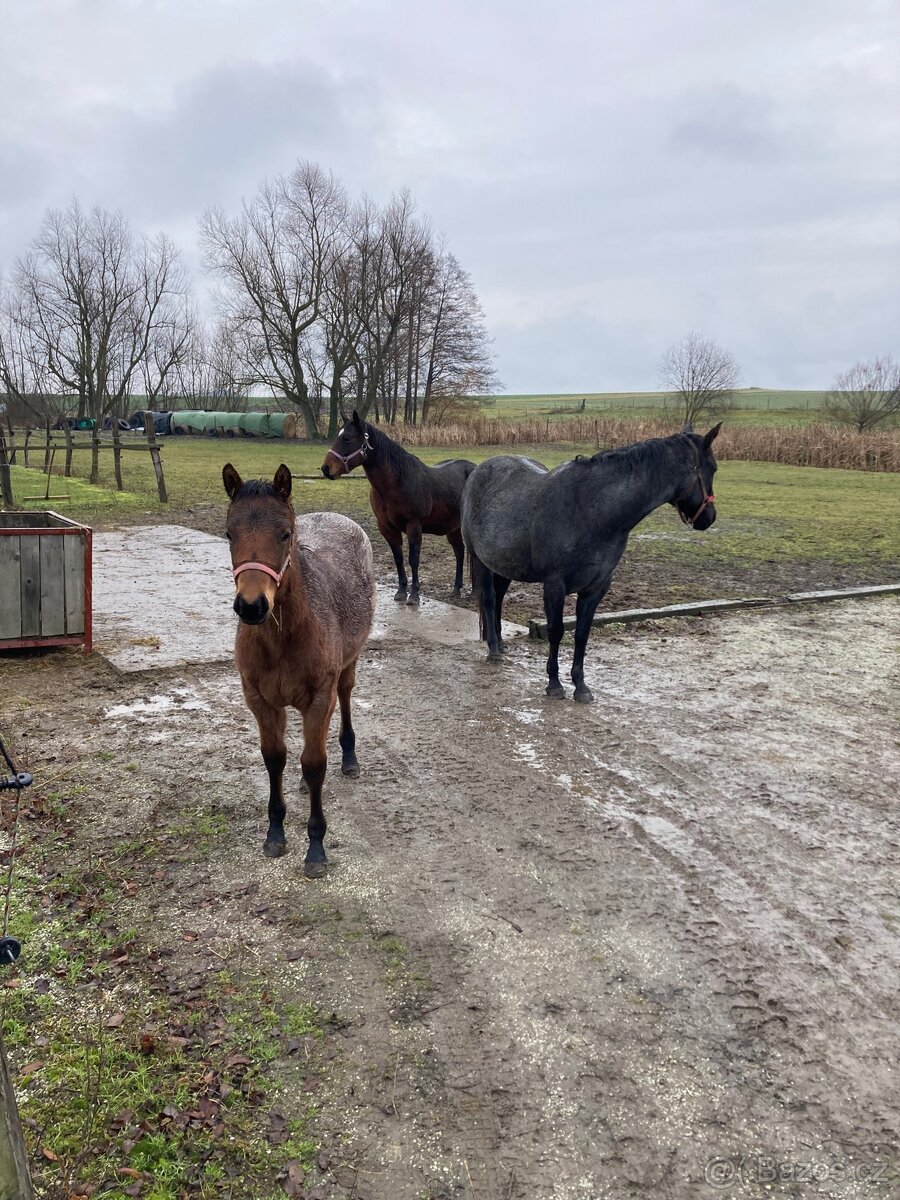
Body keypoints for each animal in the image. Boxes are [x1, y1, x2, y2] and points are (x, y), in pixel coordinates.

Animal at [223, 462, 376, 877]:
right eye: (229, 533)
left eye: (285, 534)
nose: (252, 606)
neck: (284, 638)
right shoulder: (260, 699)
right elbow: (275, 757)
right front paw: (275, 832)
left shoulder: (319, 697)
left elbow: (314, 763)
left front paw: (316, 848)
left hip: (348, 665)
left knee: (345, 696)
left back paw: (350, 758)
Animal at [321, 411, 476, 605]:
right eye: (338, 436)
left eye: (347, 438)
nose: (326, 469)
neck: (396, 482)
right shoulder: (387, 527)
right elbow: (398, 558)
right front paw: (401, 591)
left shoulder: (413, 526)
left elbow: (413, 559)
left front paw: (414, 594)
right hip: (453, 527)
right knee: (459, 552)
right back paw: (456, 589)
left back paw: (475, 593)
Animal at [462, 424, 722, 702]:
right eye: (713, 467)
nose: (709, 517)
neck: (591, 510)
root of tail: (478, 471)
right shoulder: (555, 585)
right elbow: (556, 631)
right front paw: (554, 684)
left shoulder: (596, 587)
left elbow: (582, 634)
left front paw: (581, 686)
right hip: (481, 560)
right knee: (490, 600)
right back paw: (493, 650)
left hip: (504, 565)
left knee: (499, 598)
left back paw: (500, 643)